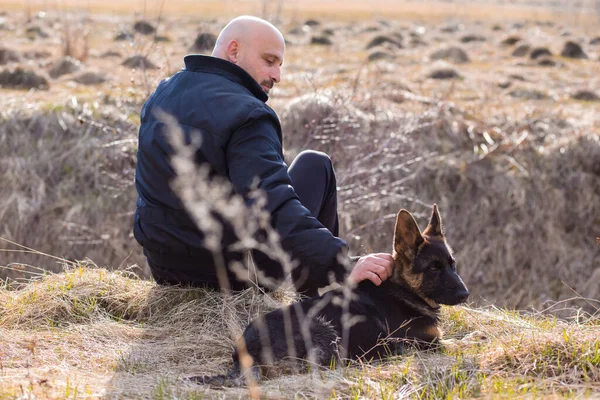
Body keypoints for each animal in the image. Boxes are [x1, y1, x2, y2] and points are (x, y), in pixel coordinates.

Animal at [192, 205, 468, 386]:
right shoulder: (429, 343)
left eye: (452, 264)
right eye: (434, 268)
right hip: (324, 330)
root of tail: (244, 351)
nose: (465, 294)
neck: (404, 290)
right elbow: (462, 343)